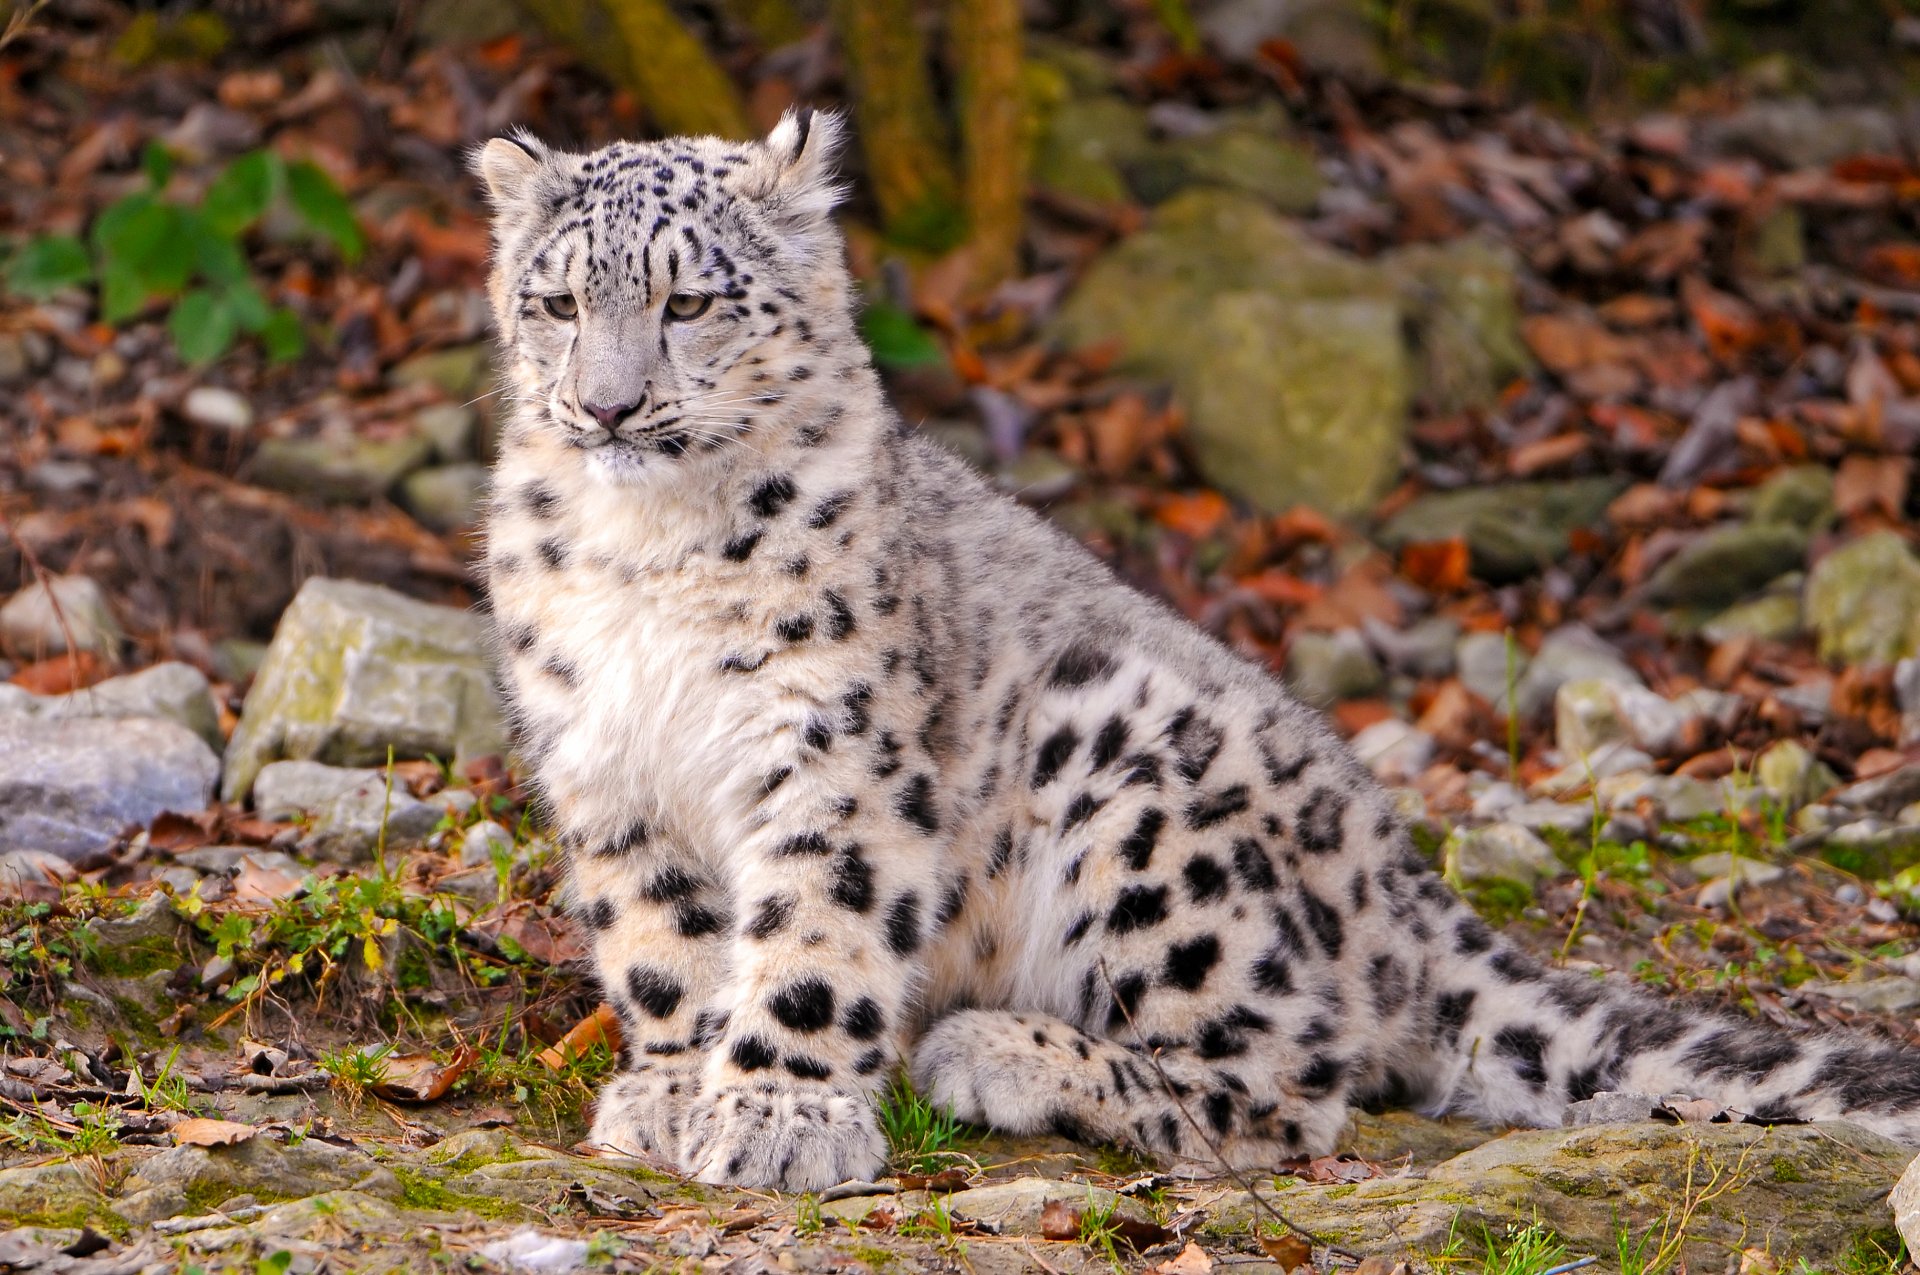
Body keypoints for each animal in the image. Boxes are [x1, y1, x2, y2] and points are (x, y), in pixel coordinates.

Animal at [475, 109, 1920, 1193]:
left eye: (689, 300)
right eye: (554, 301)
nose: (607, 404)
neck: (649, 553)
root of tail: (1400, 879)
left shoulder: (831, 750)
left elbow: (817, 933)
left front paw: (778, 1118)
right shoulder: (606, 760)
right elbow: (661, 941)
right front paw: (672, 1089)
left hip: (1130, 784)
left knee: (1290, 1082)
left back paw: (999, 1054)